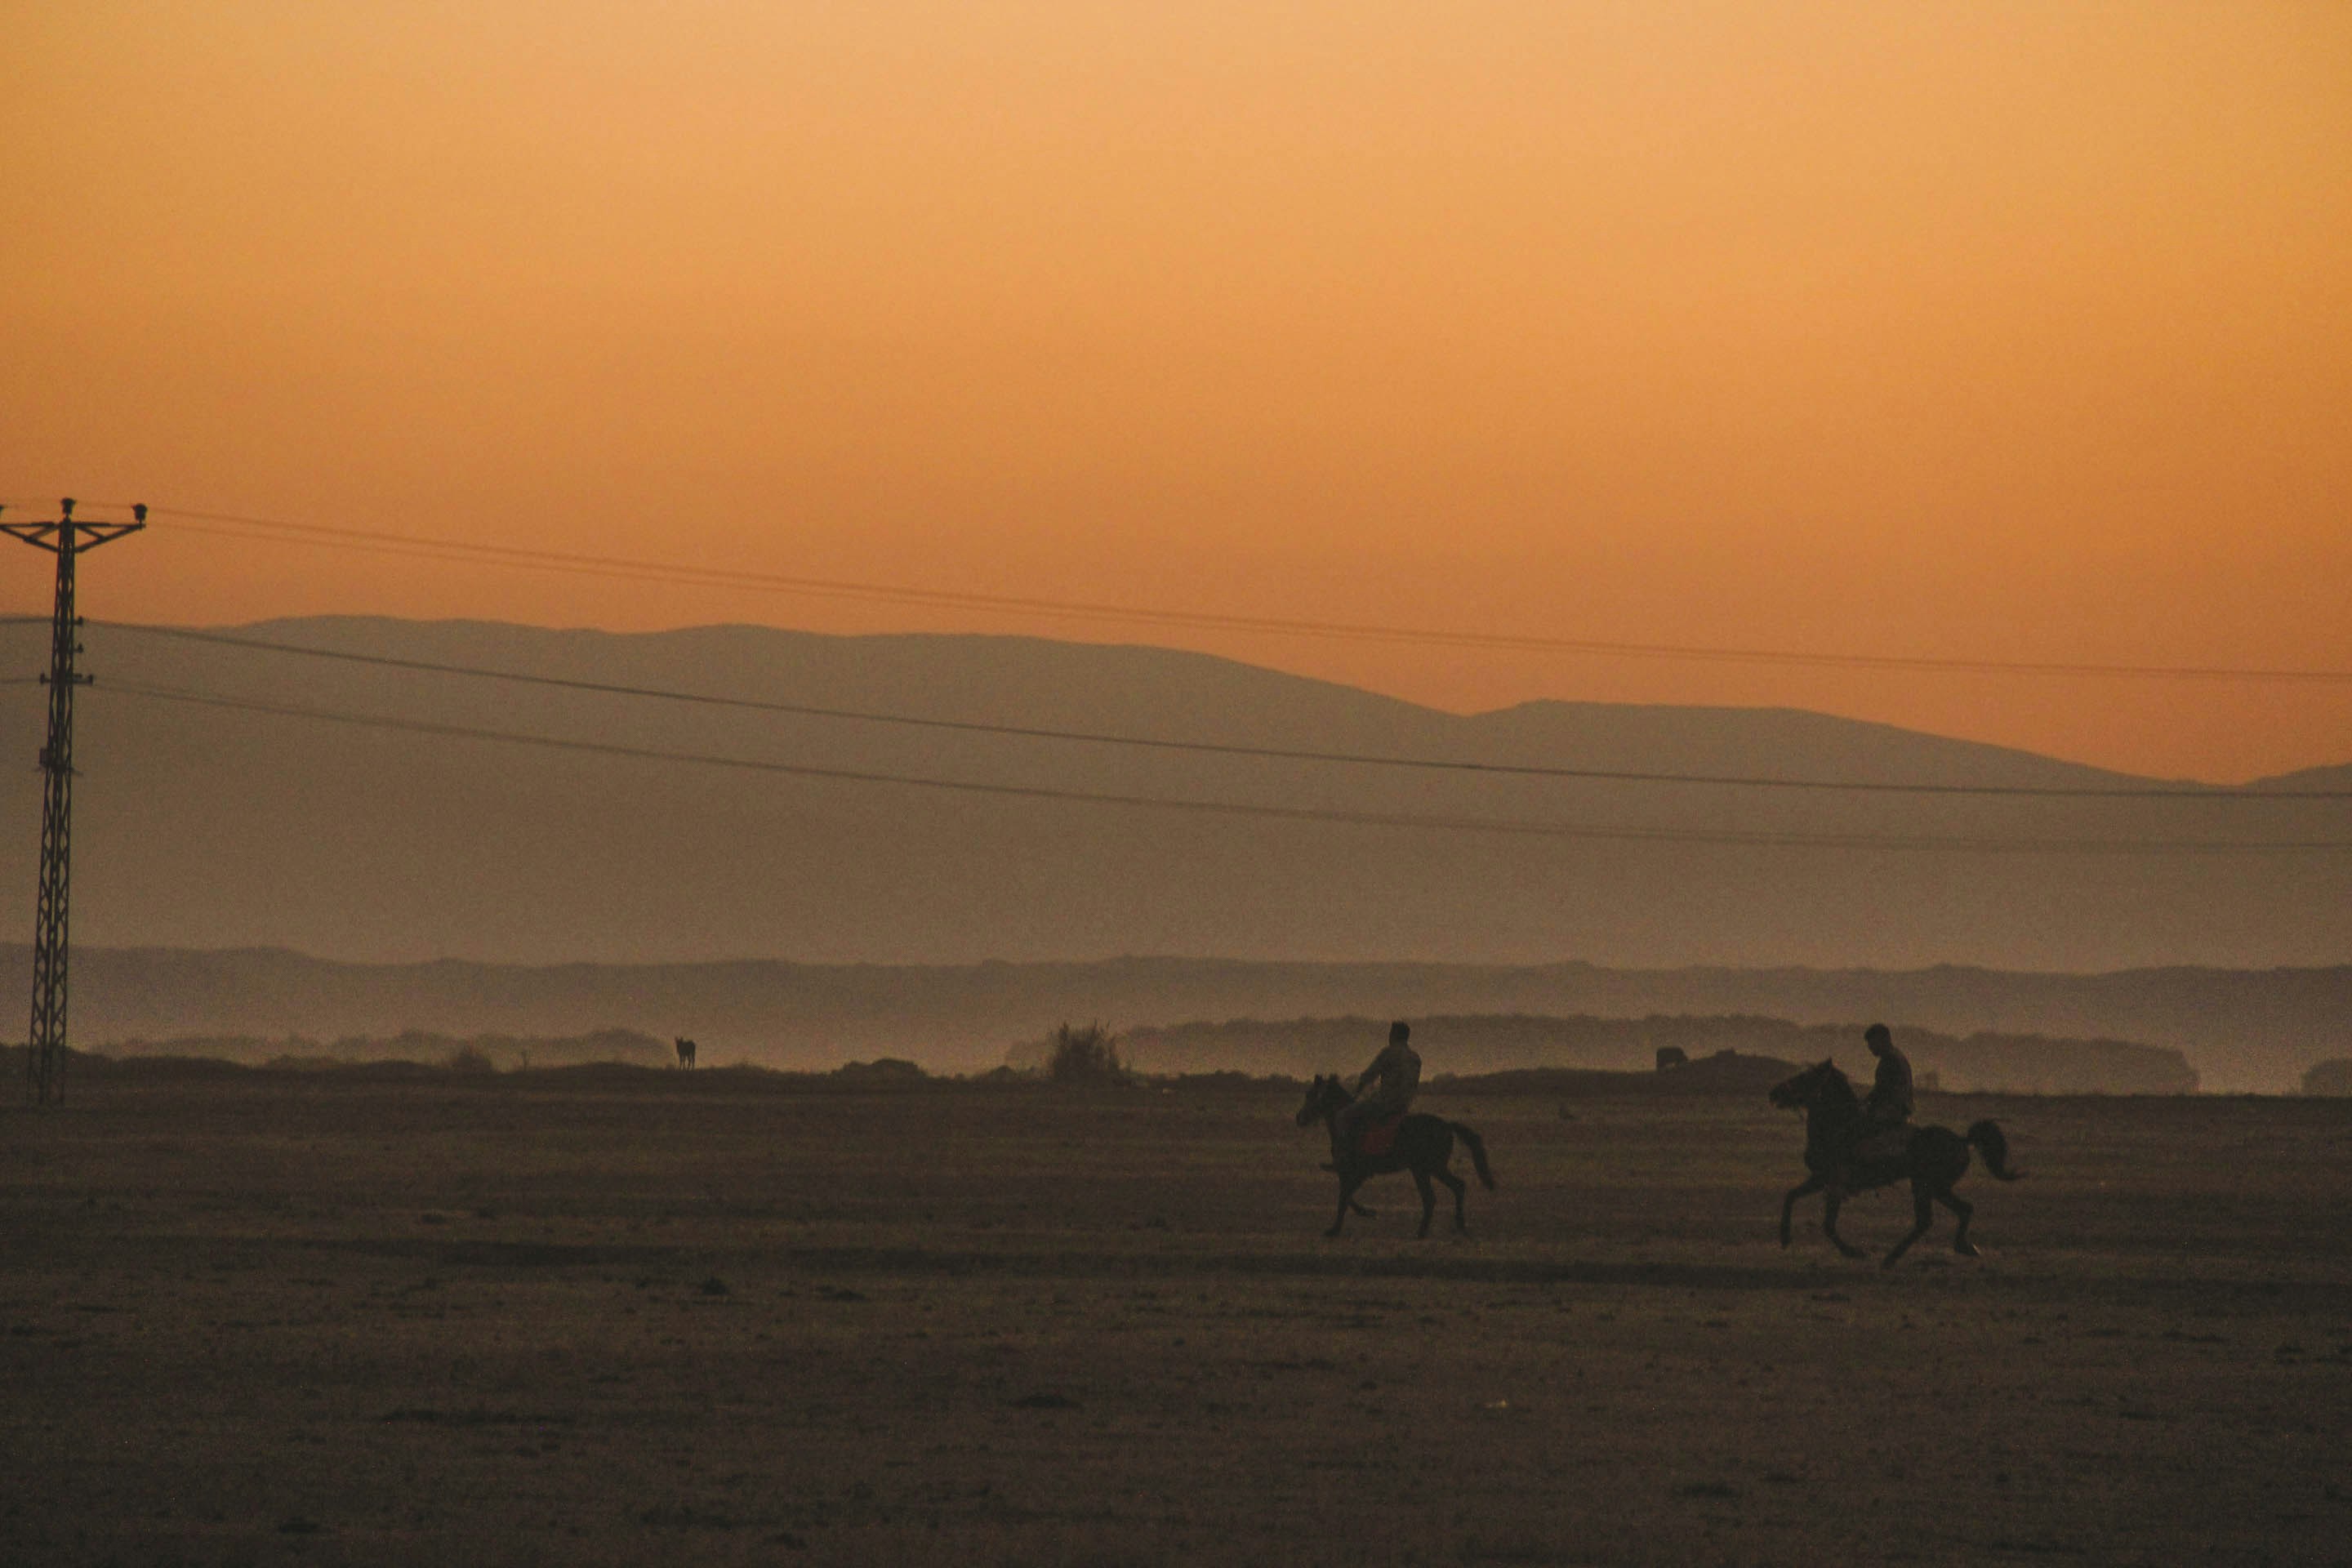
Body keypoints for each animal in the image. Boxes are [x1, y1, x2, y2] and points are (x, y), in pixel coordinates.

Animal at [1294, 1075, 1495, 1239]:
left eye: (1310, 1095)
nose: (1299, 1118)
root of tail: (1446, 1125)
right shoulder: (1352, 1173)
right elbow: (1347, 1195)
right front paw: (1365, 1212)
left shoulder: (1356, 1172)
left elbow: (1344, 1196)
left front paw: (1335, 1229)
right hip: (1429, 1169)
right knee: (1450, 1190)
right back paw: (1453, 1226)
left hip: (1427, 1168)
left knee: (1439, 1194)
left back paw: (1426, 1231)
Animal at [1769, 1059, 2021, 1268]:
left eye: (1805, 1077)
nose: (1775, 1092)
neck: (1838, 1126)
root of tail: (1962, 1140)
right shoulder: (1820, 1179)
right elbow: (1791, 1196)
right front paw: (1784, 1238)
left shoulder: (1835, 1184)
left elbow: (1828, 1226)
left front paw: (1854, 1252)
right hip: (1934, 1188)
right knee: (1960, 1210)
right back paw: (1963, 1247)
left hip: (1927, 1186)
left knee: (1929, 1220)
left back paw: (1893, 1257)